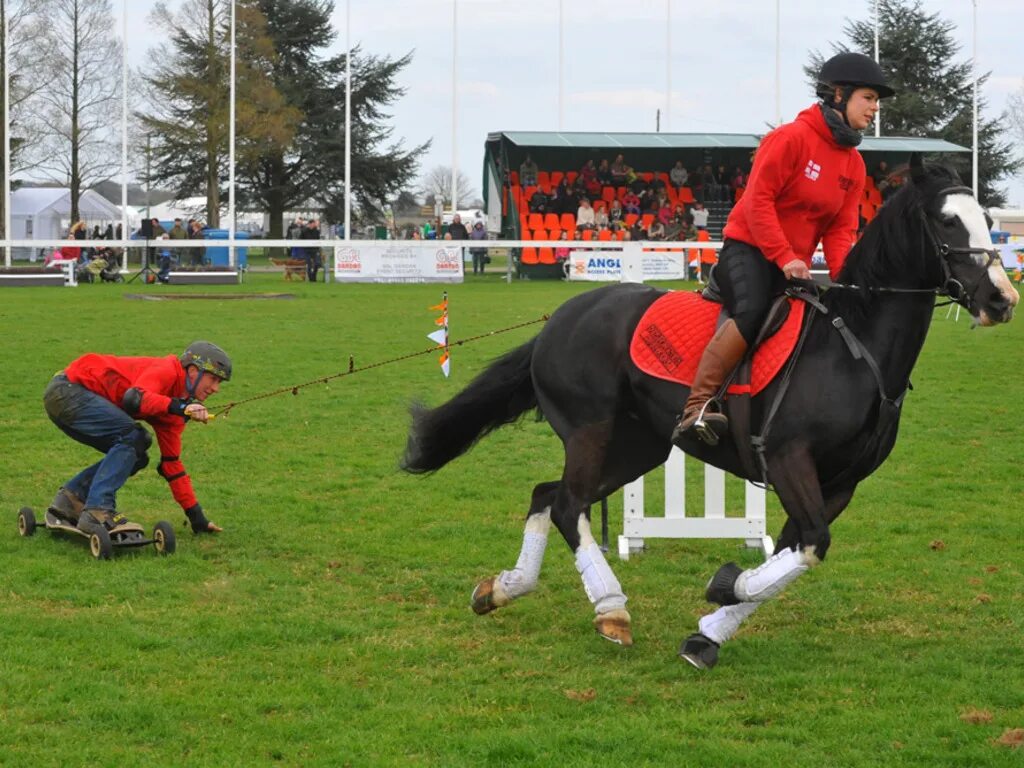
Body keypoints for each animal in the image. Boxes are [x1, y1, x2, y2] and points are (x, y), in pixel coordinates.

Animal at [399, 159, 1015, 671]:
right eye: (947, 222)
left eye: (988, 220)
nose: (1002, 300)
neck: (856, 344)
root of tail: (563, 316)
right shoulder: (789, 458)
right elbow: (808, 546)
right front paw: (724, 586)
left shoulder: (840, 483)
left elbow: (792, 553)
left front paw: (708, 633)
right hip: (592, 431)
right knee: (570, 506)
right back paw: (611, 610)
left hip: (639, 446)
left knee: (547, 496)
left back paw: (504, 588)